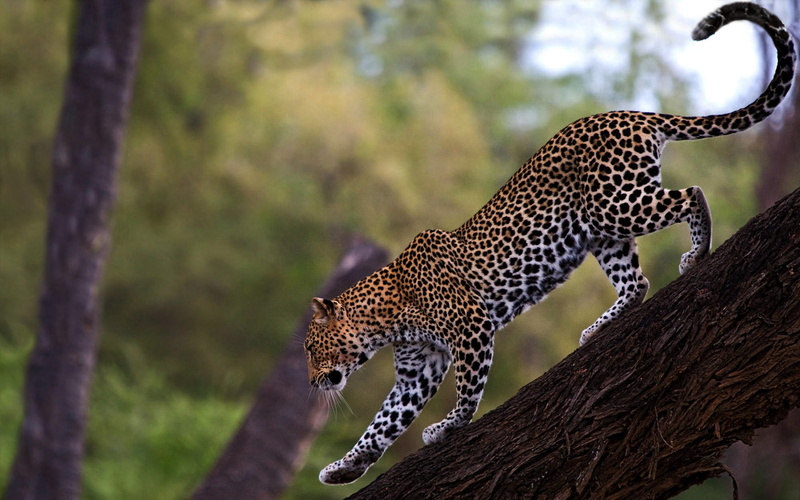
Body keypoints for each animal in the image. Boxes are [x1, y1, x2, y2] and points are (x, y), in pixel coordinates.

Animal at [304, 2, 796, 485]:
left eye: (310, 349)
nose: (311, 383)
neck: (386, 318)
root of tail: (630, 114)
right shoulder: (417, 369)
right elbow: (384, 422)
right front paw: (345, 467)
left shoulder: (471, 328)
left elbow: (467, 390)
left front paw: (448, 426)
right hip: (602, 232)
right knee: (635, 282)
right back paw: (599, 328)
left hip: (617, 203)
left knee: (692, 195)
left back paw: (697, 253)